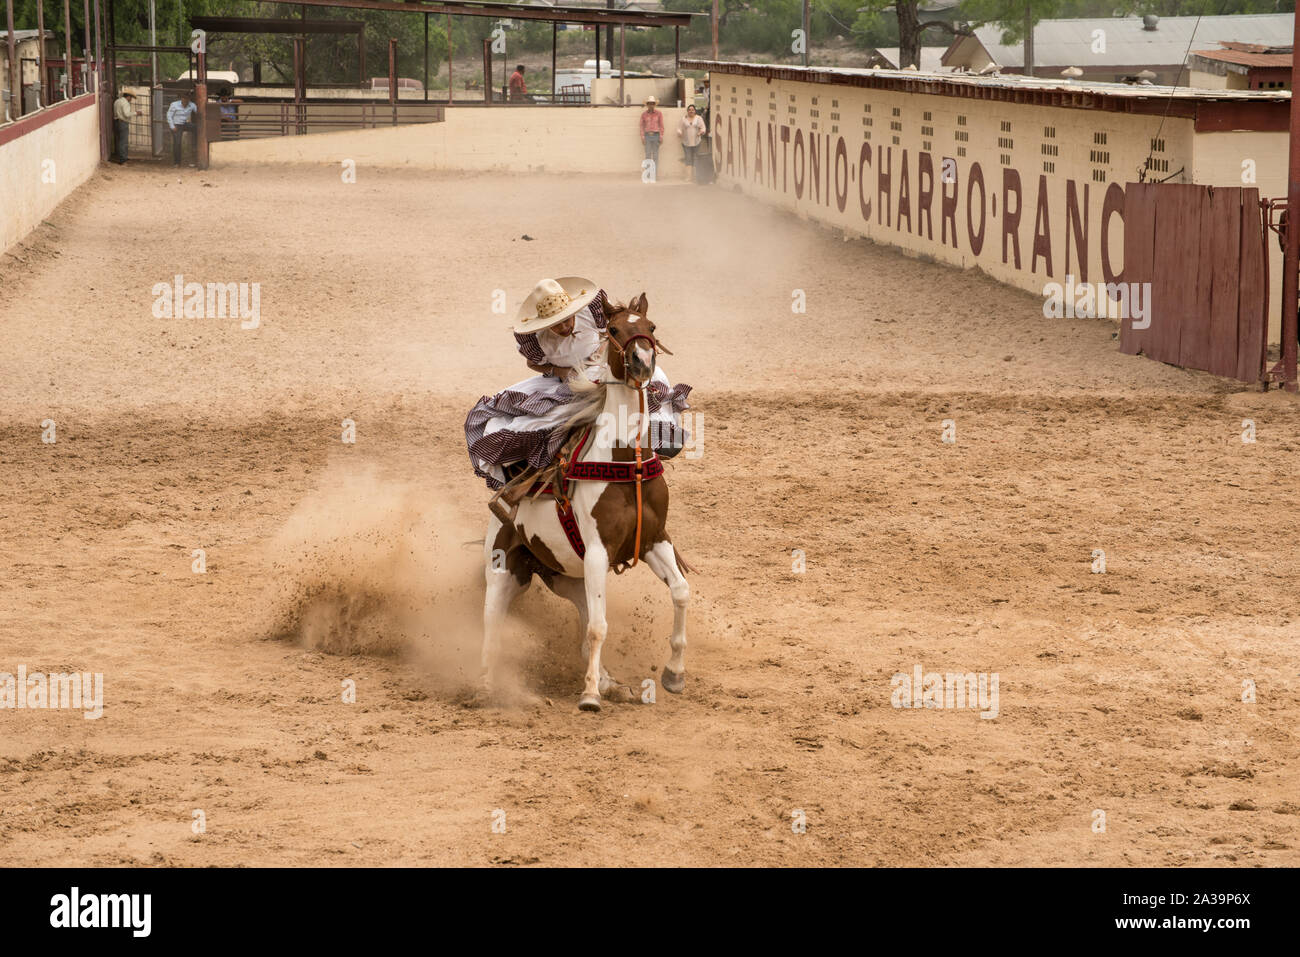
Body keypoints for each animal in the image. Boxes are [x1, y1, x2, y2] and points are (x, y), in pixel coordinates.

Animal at [480, 295, 691, 712]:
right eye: (614, 329)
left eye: (651, 327)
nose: (643, 361)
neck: (626, 462)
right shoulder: (597, 551)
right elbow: (598, 628)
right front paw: (589, 695)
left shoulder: (655, 540)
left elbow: (680, 593)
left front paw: (673, 675)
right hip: (503, 568)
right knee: (492, 624)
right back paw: (485, 687)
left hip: (570, 578)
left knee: (580, 626)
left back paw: (613, 684)